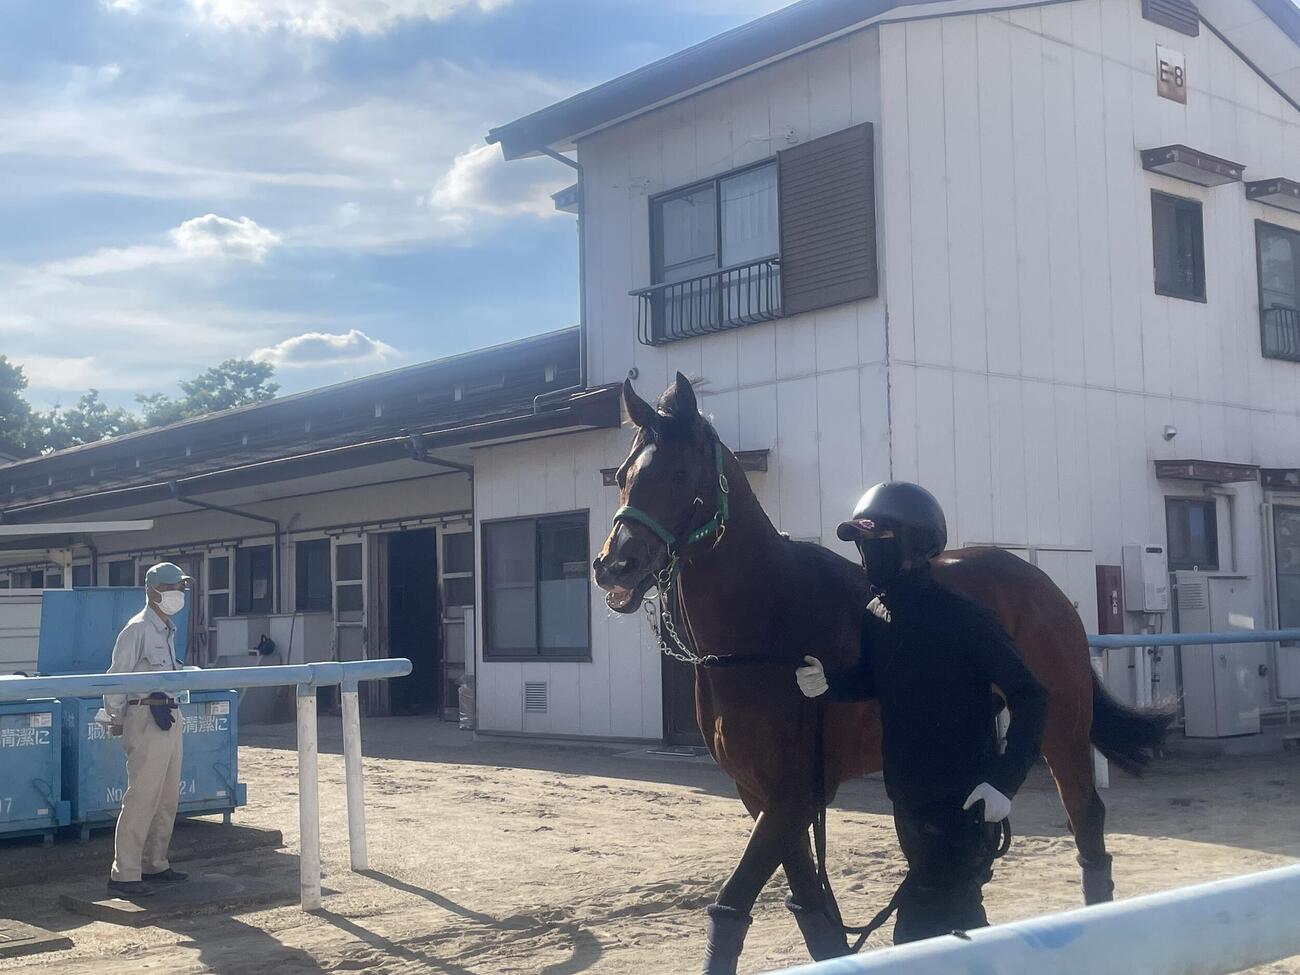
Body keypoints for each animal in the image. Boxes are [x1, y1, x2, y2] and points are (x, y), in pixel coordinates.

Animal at [592, 372, 1173, 972]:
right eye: (623, 477)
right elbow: (813, 913)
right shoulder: (759, 791)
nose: (615, 565)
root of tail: (1042, 584)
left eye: (680, 474)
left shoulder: (796, 792)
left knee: (1086, 824)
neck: (765, 627)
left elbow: (733, 903)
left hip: (1062, 726)